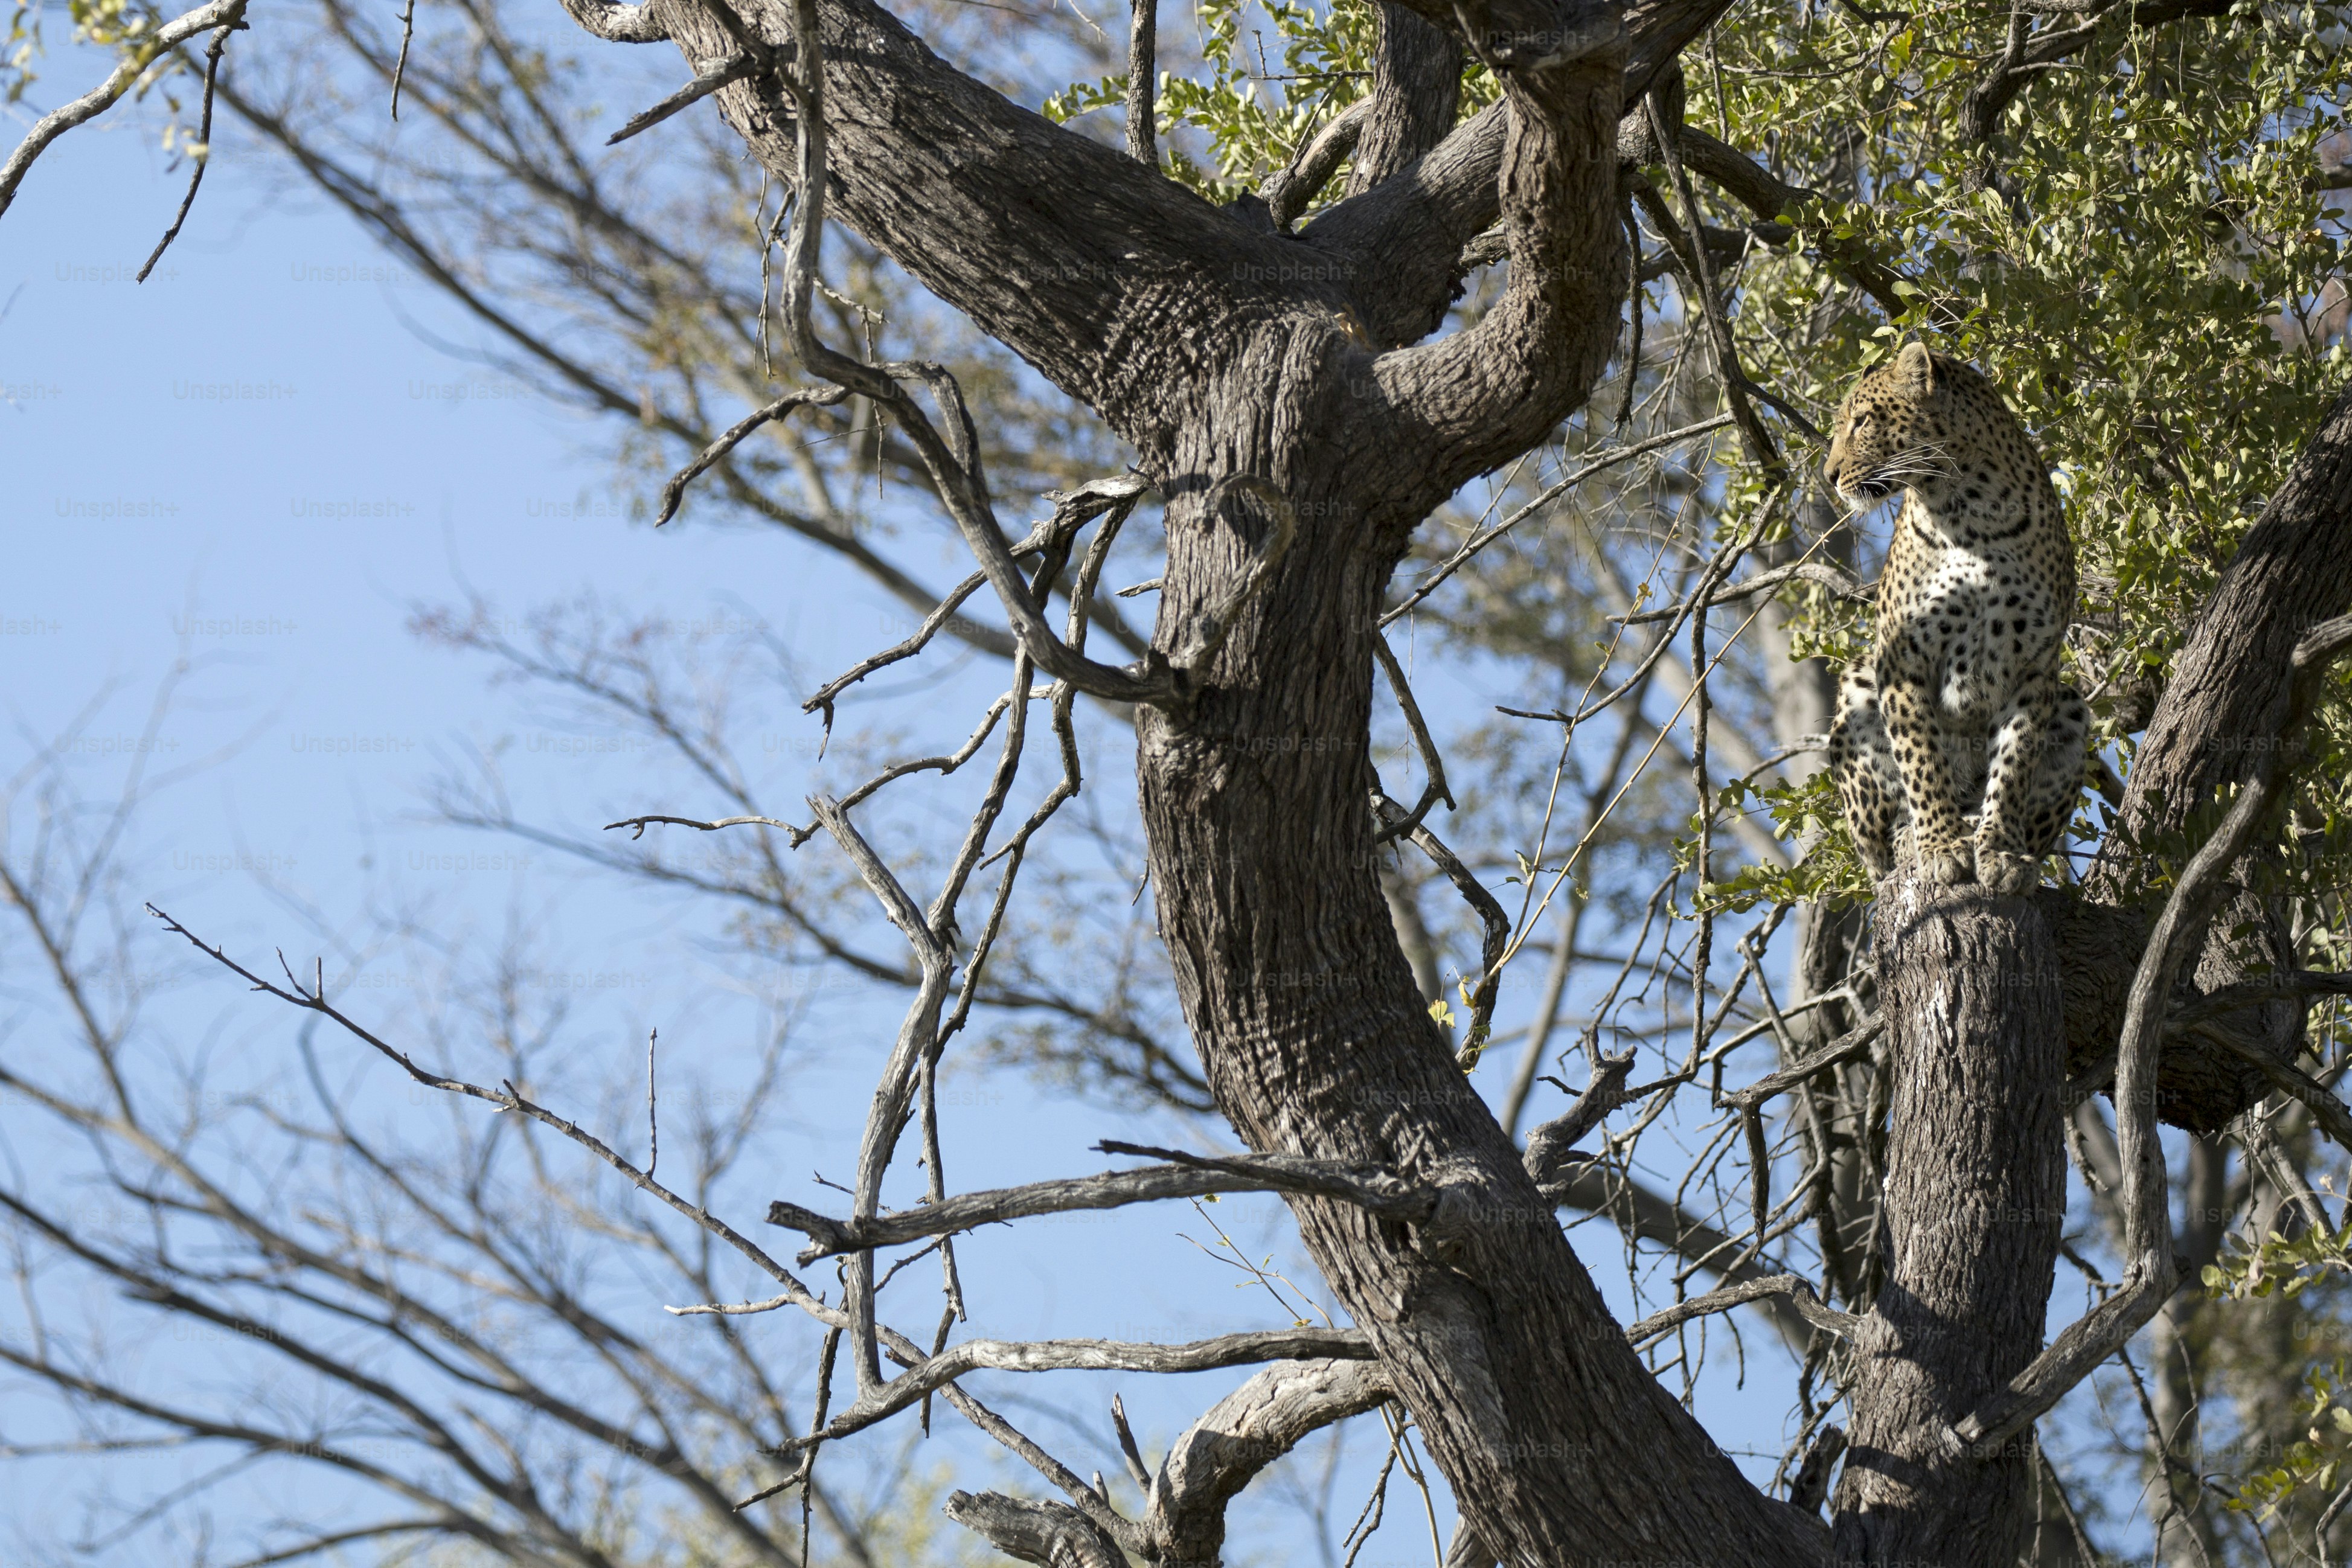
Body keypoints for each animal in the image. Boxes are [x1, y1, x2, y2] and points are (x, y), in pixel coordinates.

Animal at [1822, 340, 2088, 896]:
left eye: (1861, 421)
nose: (1829, 477)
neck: (1969, 508)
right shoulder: (1902, 658)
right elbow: (1920, 757)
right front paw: (1941, 847)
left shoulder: (2033, 664)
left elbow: (2013, 764)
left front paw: (2000, 851)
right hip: (1857, 685)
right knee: (1880, 849)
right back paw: (1916, 836)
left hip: (2073, 707)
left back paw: (1978, 827)